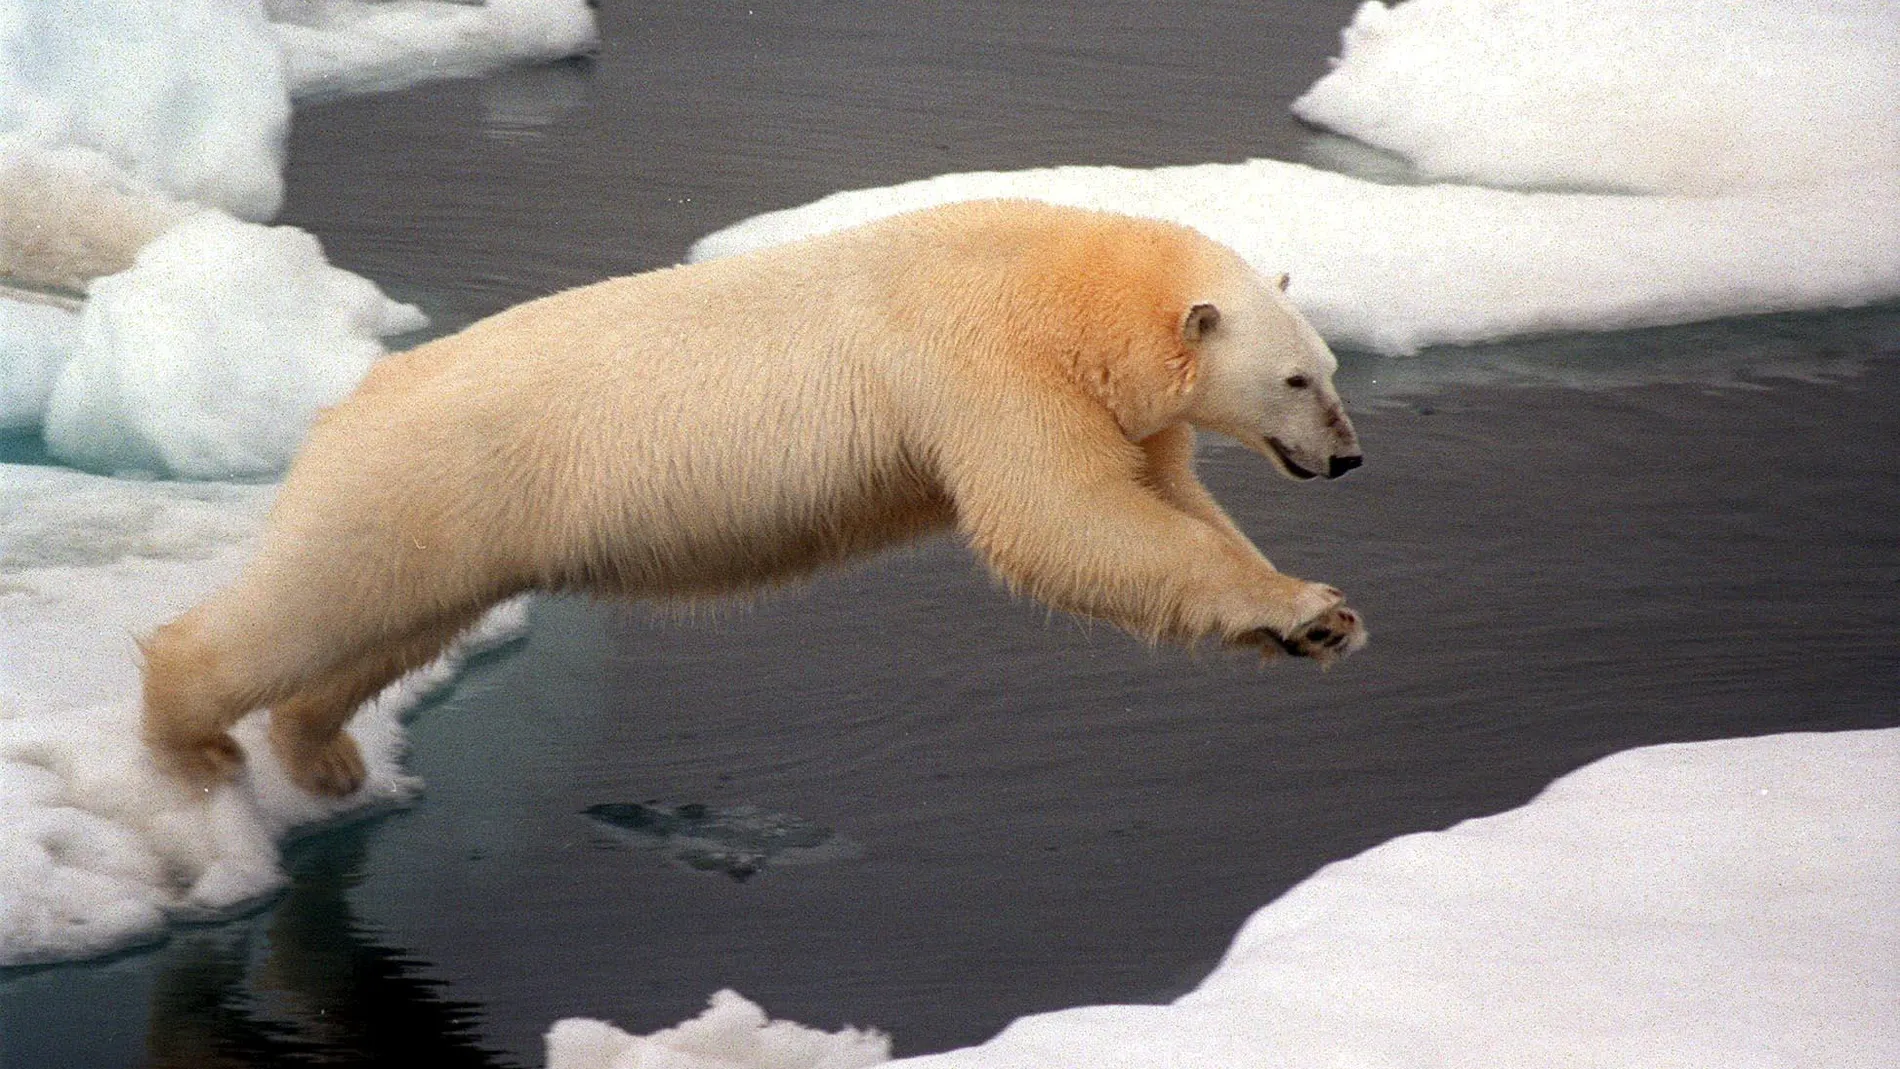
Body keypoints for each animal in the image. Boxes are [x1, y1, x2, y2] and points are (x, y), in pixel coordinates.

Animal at [148, 201, 1368, 797]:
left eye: (1330, 369)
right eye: (1297, 380)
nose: (1349, 458)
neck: (1068, 282)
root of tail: (345, 402)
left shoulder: (1113, 400)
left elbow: (1162, 500)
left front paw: (1318, 618)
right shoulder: (982, 359)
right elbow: (1059, 518)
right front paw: (1307, 607)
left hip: (455, 520)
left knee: (390, 627)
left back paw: (322, 751)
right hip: (424, 477)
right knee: (313, 602)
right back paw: (191, 737)